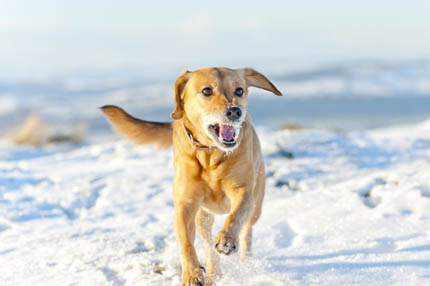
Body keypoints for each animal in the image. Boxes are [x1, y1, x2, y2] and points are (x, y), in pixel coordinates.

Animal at [101, 67, 282, 286]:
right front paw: (192, 274)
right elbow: (186, 243)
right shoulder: (185, 205)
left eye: (239, 90)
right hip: (202, 216)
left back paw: (244, 258)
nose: (235, 111)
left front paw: (227, 239)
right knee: (207, 243)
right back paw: (213, 273)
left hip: (257, 205)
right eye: (206, 91)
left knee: (246, 229)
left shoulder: (243, 191)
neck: (210, 153)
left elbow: (235, 215)